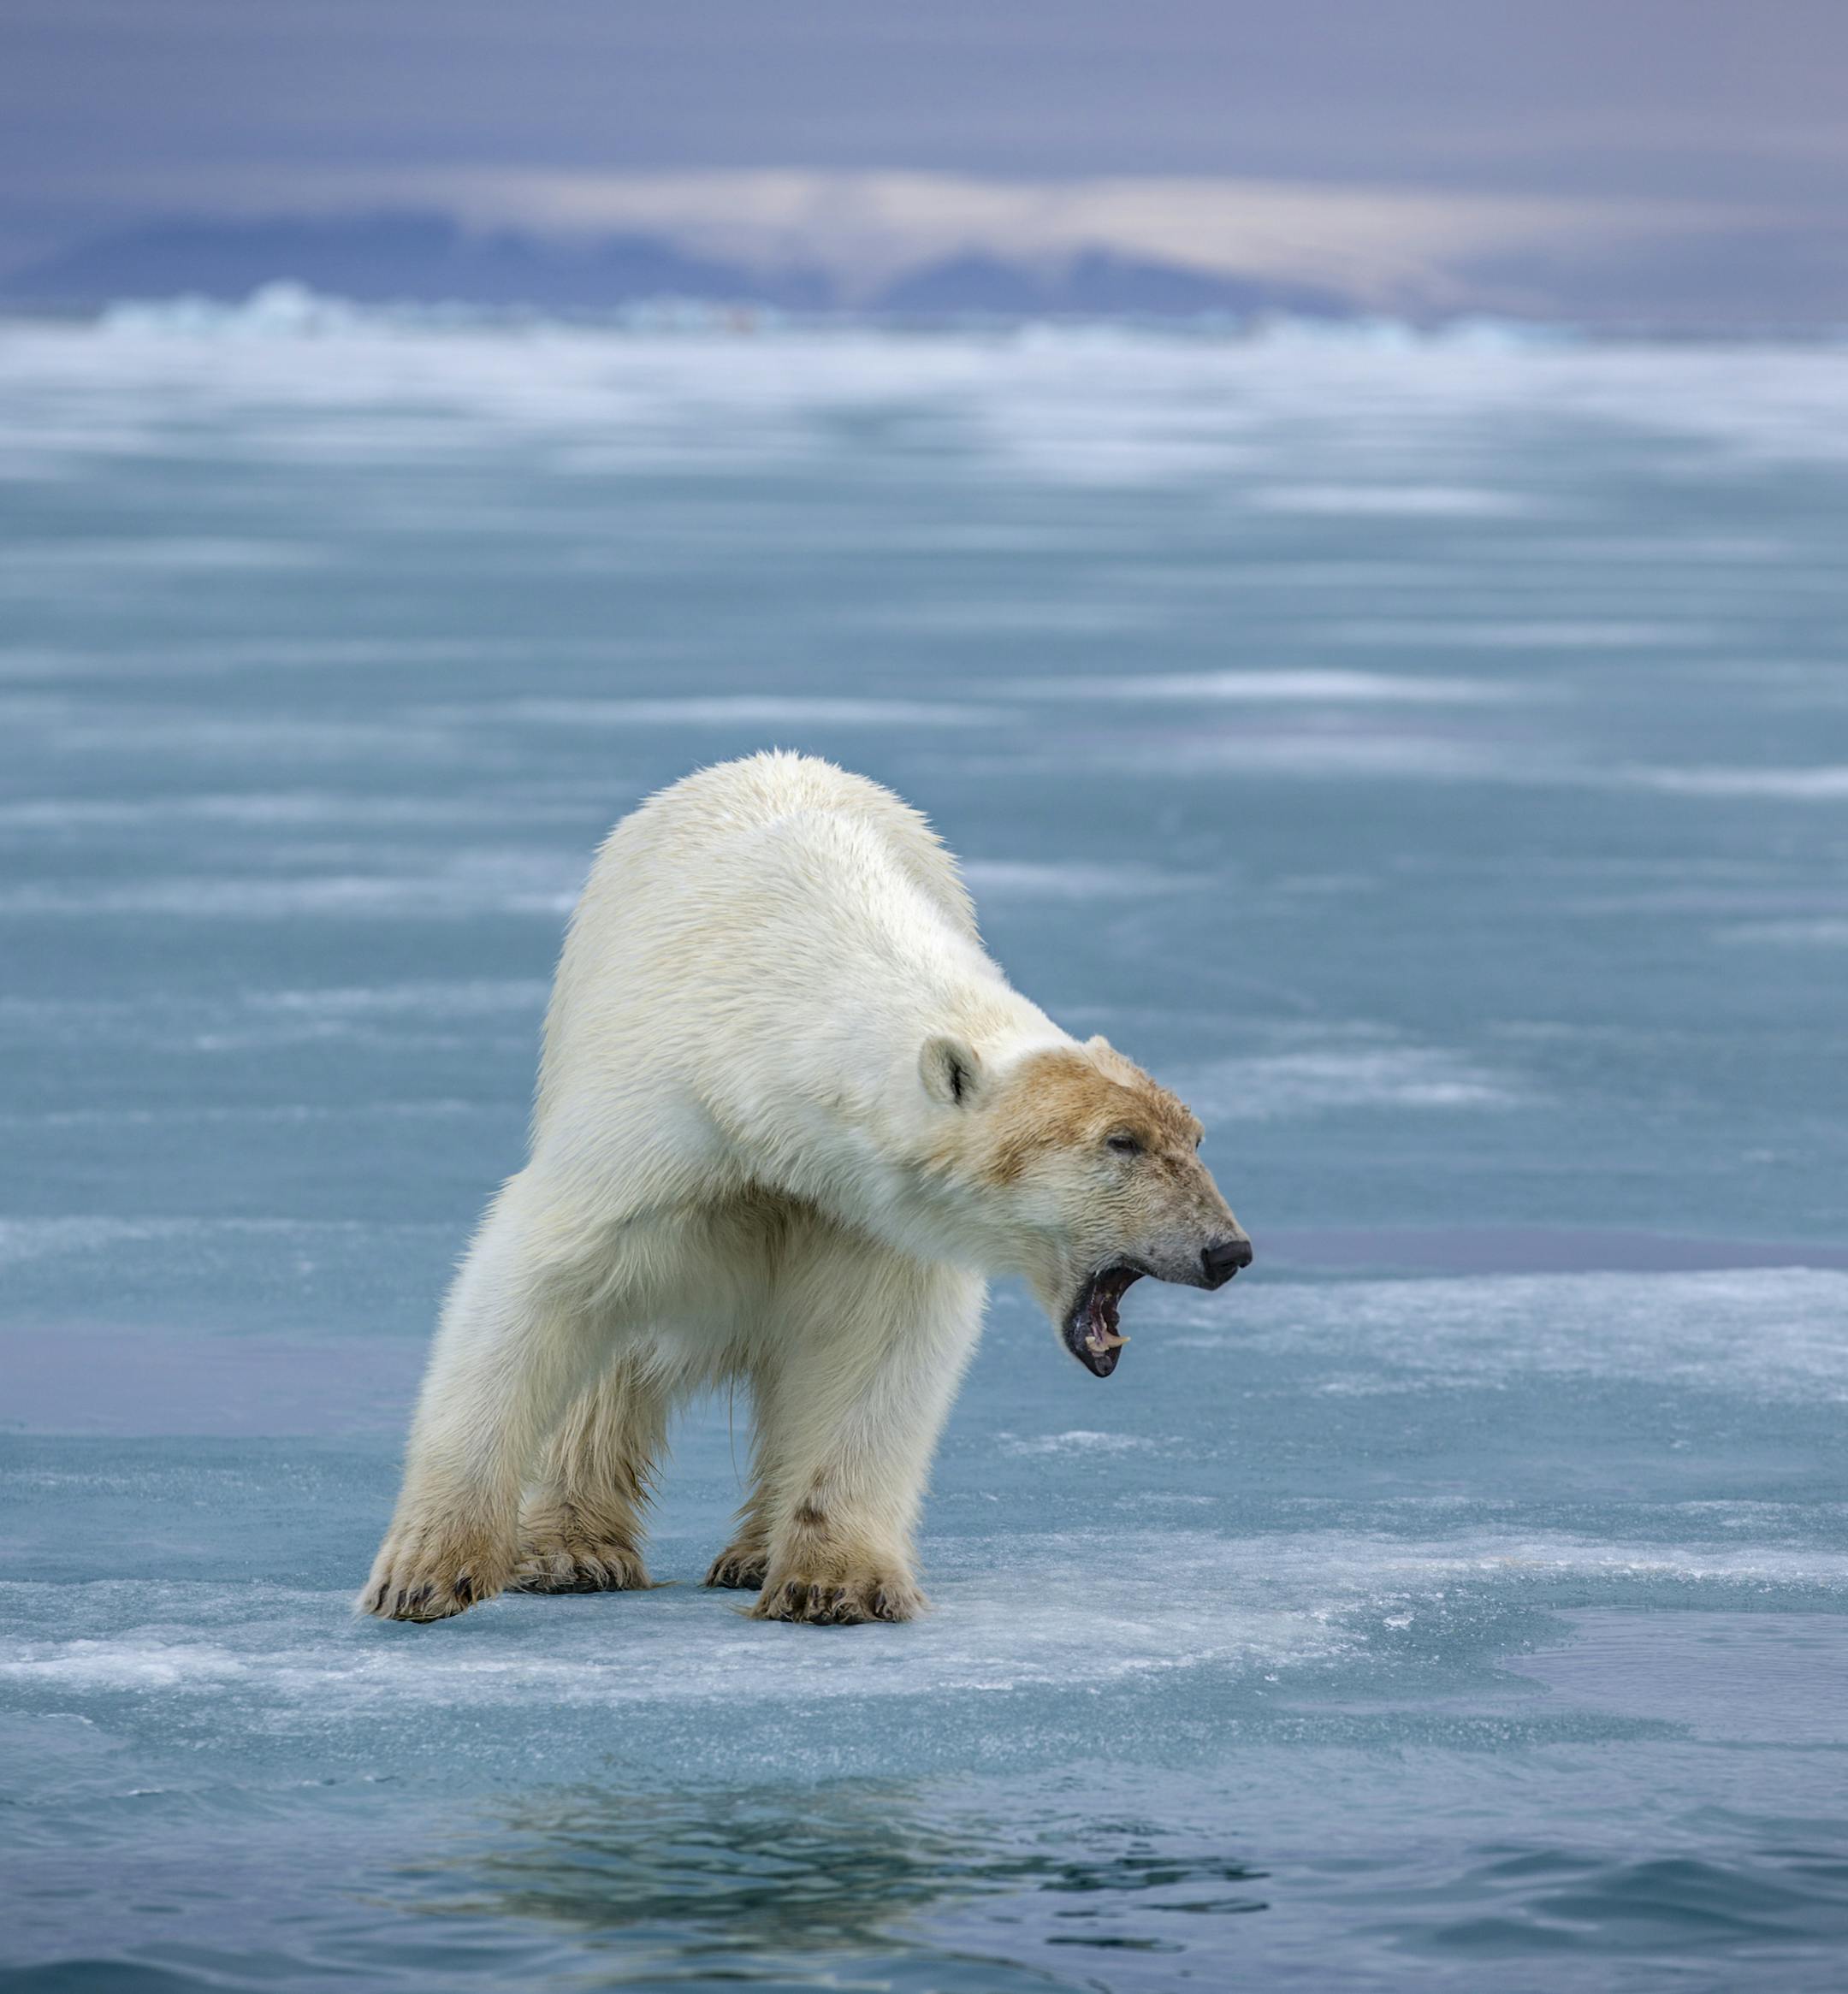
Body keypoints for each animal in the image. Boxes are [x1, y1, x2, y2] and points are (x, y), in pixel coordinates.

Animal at [360, 752, 1250, 1627]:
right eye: (1121, 1143)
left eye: (1194, 1137)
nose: (1228, 1249)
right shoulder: (663, 1126)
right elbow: (533, 1286)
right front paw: (422, 1571)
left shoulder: (861, 1211)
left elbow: (875, 1350)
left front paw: (833, 1580)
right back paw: (573, 1551)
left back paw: (752, 1551)